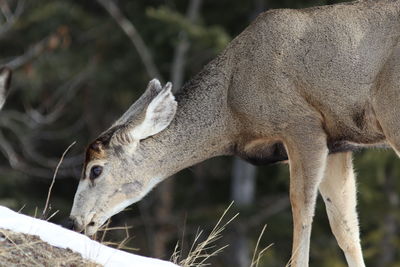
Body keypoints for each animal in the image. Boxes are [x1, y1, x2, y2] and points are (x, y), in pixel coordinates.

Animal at [69, 1, 400, 266]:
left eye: (96, 170)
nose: (74, 221)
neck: (232, 111)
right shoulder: (338, 143)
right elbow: (346, 227)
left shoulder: (302, 125)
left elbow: (301, 207)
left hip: (391, 113)